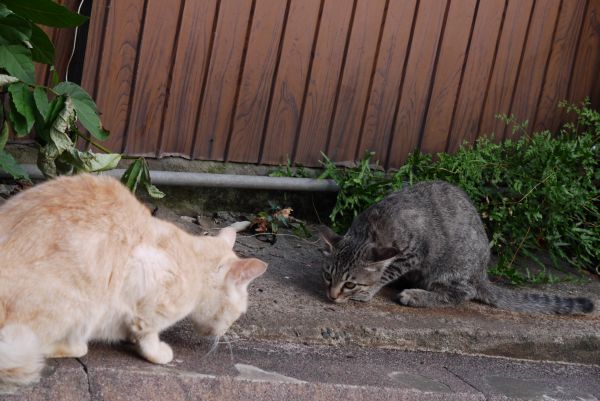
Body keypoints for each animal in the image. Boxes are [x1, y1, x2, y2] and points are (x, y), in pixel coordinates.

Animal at [0, 174, 267, 389]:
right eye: (238, 314)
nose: (224, 332)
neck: (192, 260)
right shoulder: (146, 272)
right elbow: (149, 330)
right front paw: (157, 352)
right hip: (80, 307)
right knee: (52, 348)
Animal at [319, 181, 594, 315]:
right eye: (328, 276)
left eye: (350, 284)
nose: (332, 295)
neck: (370, 229)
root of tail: (481, 273)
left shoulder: (414, 250)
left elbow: (389, 270)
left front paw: (369, 290)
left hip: (451, 268)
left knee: (462, 293)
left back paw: (416, 295)